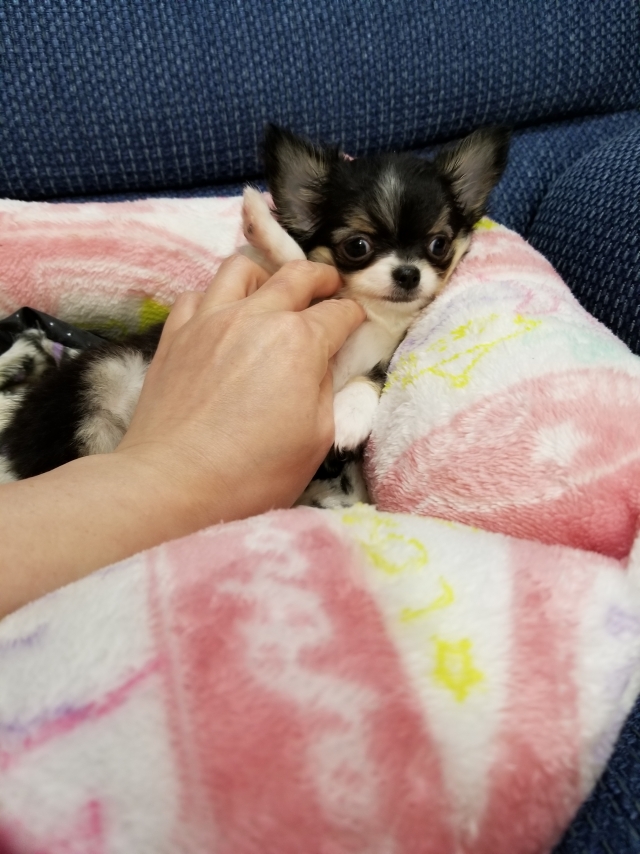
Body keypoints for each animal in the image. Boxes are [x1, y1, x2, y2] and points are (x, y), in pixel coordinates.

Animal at [0, 125, 510, 507]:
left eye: (439, 244)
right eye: (358, 246)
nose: (407, 273)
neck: (371, 316)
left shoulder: (387, 353)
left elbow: (373, 377)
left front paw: (347, 414)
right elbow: (292, 260)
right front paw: (262, 224)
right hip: (98, 386)